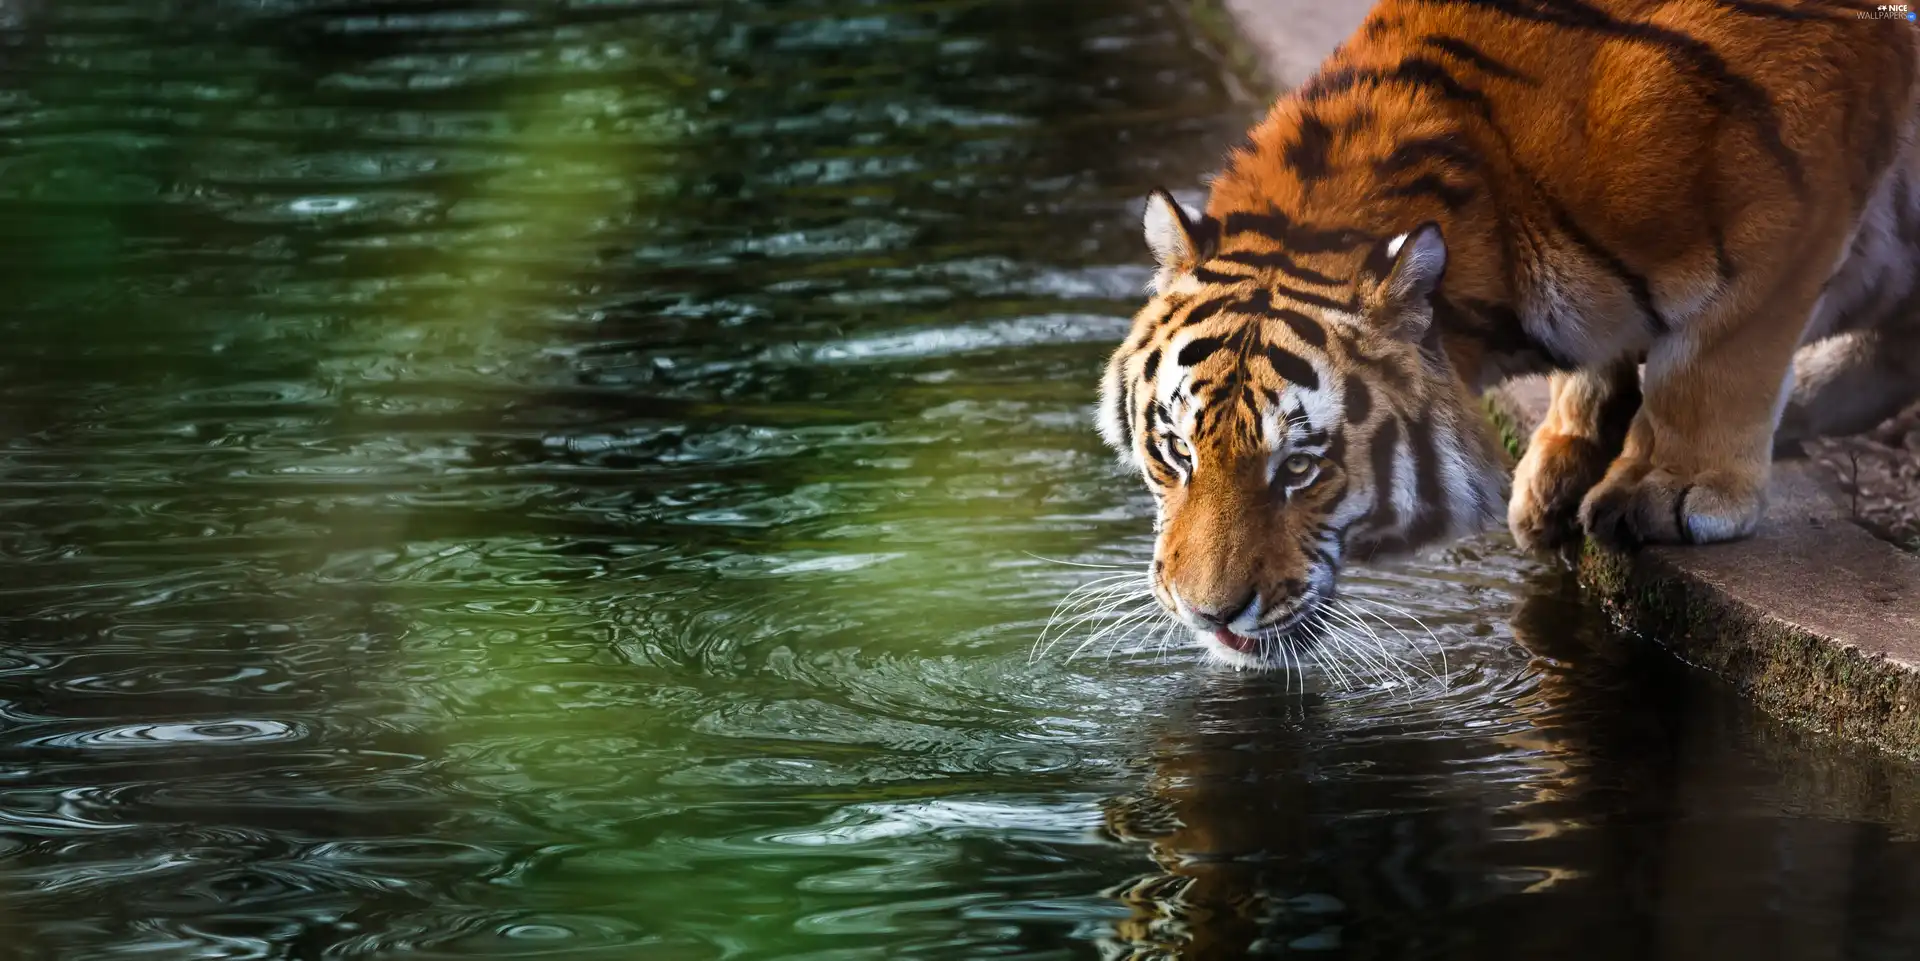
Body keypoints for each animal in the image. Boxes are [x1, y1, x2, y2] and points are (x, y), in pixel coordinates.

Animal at [1098, 0, 1920, 667]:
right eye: (1176, 452)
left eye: (1301, 467)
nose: (1208, 615)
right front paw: (1563, 462)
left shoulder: (1793, 199)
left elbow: (1715, 357)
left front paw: (1668, 485)